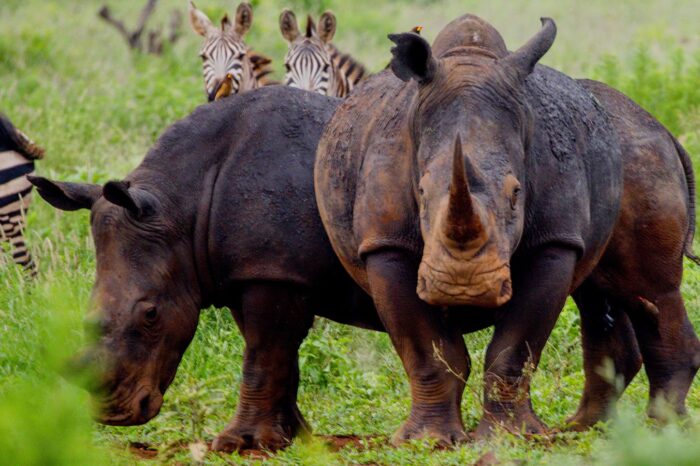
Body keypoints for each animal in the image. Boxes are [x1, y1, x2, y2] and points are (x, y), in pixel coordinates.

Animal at [315, 15, 700, 444]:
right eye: (421, 192)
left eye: (517, 193)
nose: (464, 286)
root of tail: (662, 128)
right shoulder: (384, 242)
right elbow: (427, 351)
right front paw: (429, 440)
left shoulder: (553, 241)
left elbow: (514, 348)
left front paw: (508, 438)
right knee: (604, 293)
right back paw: (585, 428)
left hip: (644, 158)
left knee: (649, 289)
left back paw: (661, 433)